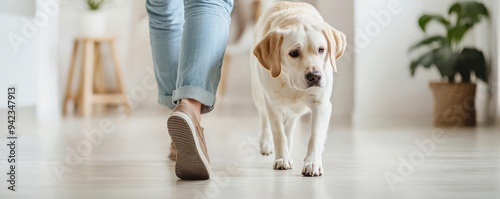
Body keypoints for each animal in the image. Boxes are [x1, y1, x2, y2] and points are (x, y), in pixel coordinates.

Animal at [252, 1, 346, 176]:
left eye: (321, 49)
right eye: (294, 53)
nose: (315, 76)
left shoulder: (321, 104)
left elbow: (315, 135)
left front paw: (313, 162)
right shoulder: (273, 105)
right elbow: (278, 133)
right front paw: (282, 158)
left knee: (290, 124)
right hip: (259, 96)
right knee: (264, 118)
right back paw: (266, 142)